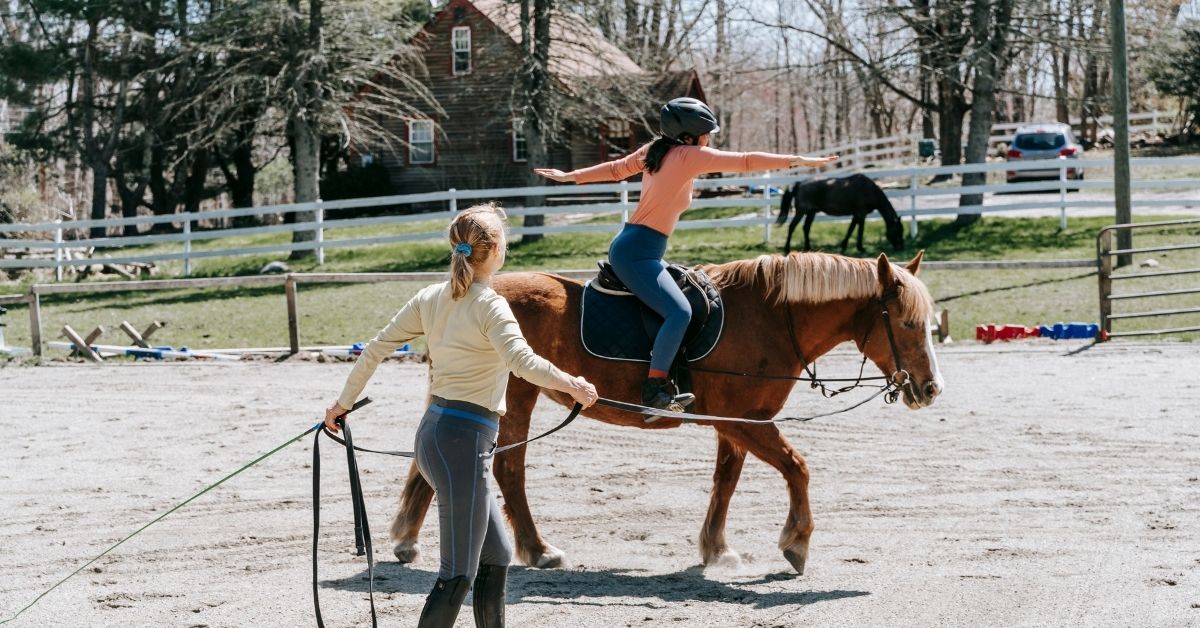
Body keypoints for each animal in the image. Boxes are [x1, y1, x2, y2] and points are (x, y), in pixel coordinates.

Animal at [388, 250, 940, 573]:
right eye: (908, 323)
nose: (930, 388)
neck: (765, 318)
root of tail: (465, 295)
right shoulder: (746, 423)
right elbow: (797, 467)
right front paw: (796, 542)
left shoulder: (737, 425)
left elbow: (725, 481)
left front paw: (716, 549)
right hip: (514, 397)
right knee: (507, 469)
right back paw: (538, 548)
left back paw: (410, 540)